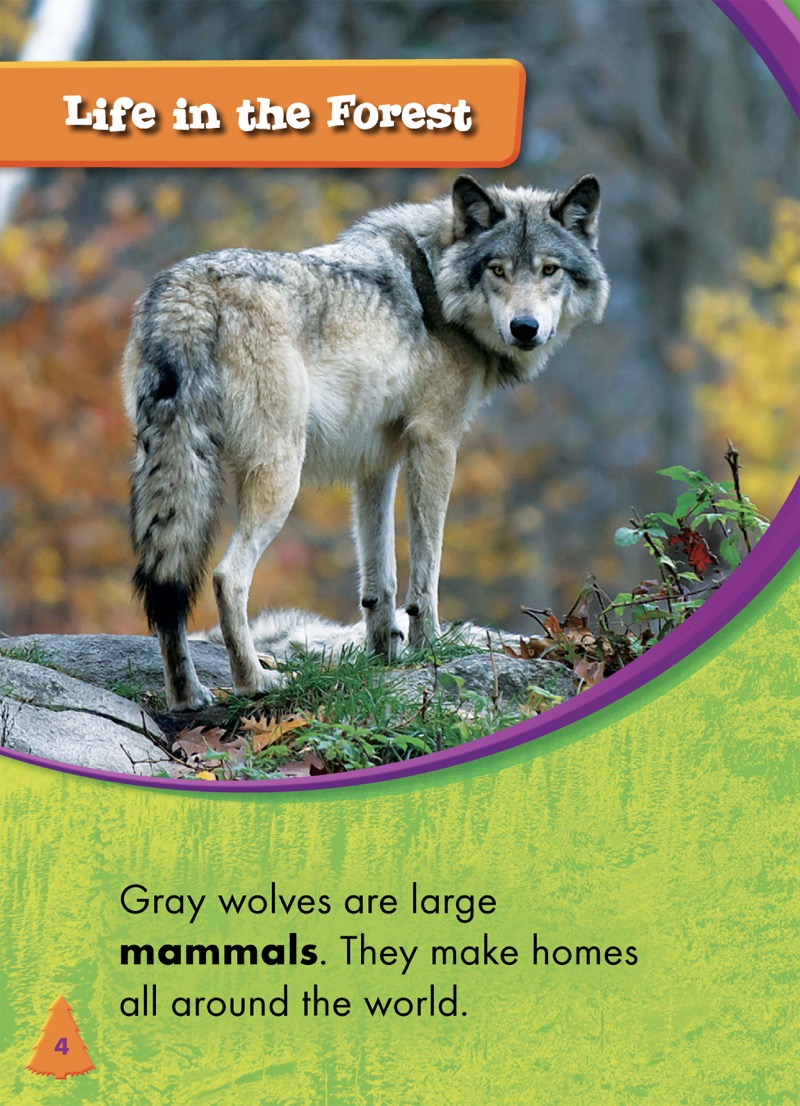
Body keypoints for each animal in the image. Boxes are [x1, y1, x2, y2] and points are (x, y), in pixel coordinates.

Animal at [122, 174, 609, 710]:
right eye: (498, 270)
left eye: (549, 270)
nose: (525, 329)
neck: (437, 284)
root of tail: (189, 290)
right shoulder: (435, 443)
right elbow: (426, 570)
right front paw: (427, 649)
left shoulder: (376, 461)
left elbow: (381, 577)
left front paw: (385, 657)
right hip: (280, 475)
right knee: (228, 577)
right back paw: (256, 682)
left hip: (171, 468)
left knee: (167, 585)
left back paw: (187, 696)